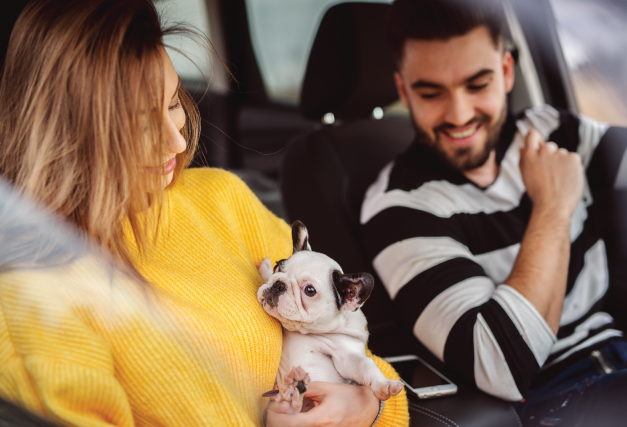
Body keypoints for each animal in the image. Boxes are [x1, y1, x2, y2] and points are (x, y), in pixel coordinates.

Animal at [258, 222, 404, 416]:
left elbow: (365, 363)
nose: (278, 285)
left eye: (310, 290)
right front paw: (266, 270)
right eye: (278, 267)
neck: (304, 331)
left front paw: (385, 384)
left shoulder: (345, 356)